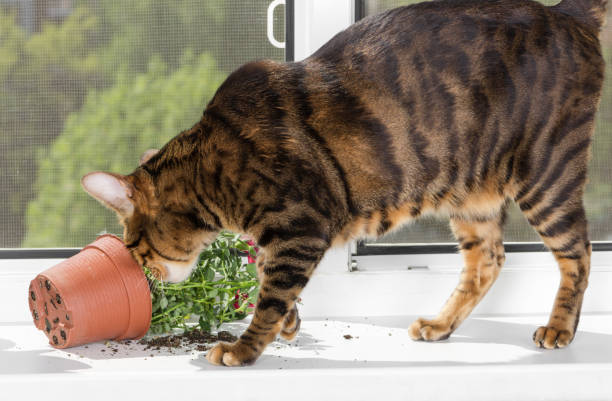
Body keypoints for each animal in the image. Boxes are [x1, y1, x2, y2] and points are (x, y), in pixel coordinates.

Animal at [81, 0, 608, 364]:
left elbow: (271, 292)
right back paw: (440, 324)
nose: (148, 278)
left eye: (136, 249)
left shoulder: (303, 223)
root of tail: (566, 14)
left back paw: (559, 329)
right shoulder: (286, 235)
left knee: (578, 253)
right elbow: (268, 276)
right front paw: (290, 323)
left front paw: (245, 348)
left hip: (547, 172)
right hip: (471, 192)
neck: (214, 170)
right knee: (489, 262)